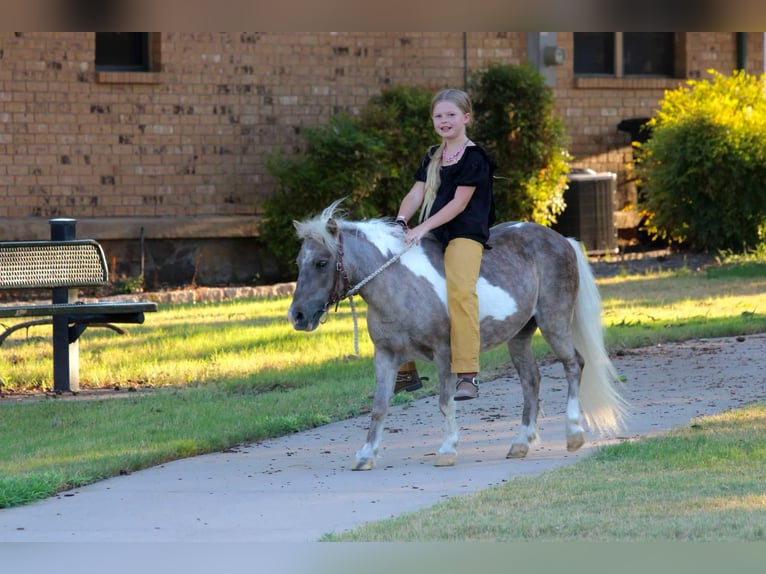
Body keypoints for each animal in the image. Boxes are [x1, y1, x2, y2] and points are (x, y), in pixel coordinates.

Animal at [288, 199, 627, 470]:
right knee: (531, 379)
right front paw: (366, 455)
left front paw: (448, 449)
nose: (297, 316)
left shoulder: (443, 353)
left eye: (322, 262)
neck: (399, 282)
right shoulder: (385, 355)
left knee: (573, 365)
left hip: (554, 321)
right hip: (520, 334)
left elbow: (445, 401)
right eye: (299, 262)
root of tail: (563, 240)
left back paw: (573, 434)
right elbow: (379, 407)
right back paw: (521, 443)